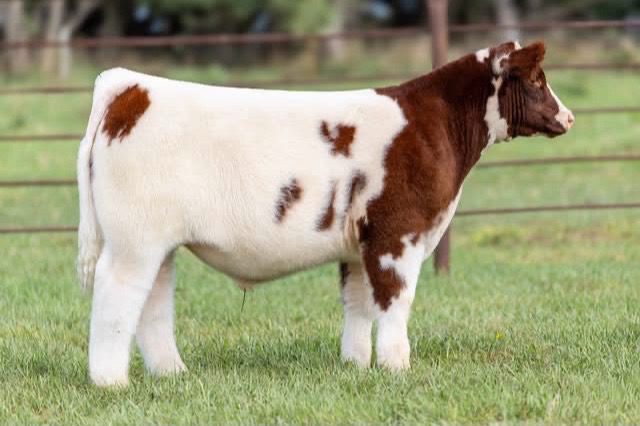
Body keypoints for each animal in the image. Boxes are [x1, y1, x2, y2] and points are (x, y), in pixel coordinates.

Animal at [76, 40, 574, 387]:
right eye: (536, 80)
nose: (568, 118)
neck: (434, 126)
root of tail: (130, 87)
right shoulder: (398, 233)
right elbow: (395, 300)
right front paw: (397, 366)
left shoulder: (358, 245)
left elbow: (357, 303)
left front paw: (356, 365)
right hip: (135, 240)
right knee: (117, 294)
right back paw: (110, 381)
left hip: (158, 242)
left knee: (153, 301)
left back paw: (171, 372)